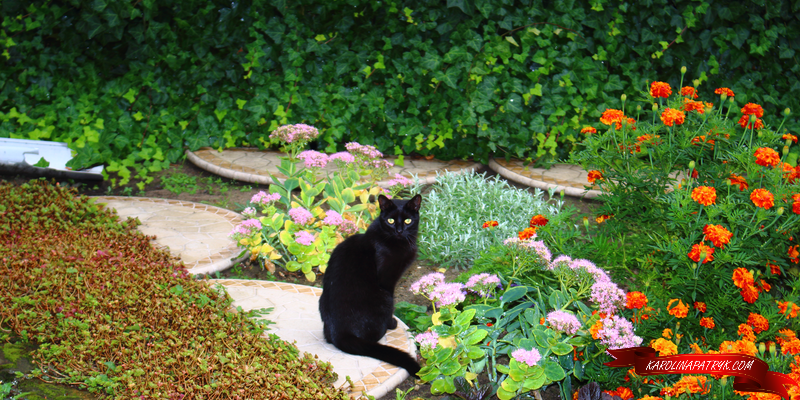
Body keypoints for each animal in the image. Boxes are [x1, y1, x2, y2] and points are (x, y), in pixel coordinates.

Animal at [318, 194, 422, 376]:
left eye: (408, 220)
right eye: (390, 221)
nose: (399, 230)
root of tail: (341, 333)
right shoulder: (387, 280)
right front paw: (392, 323)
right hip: (384, 297)